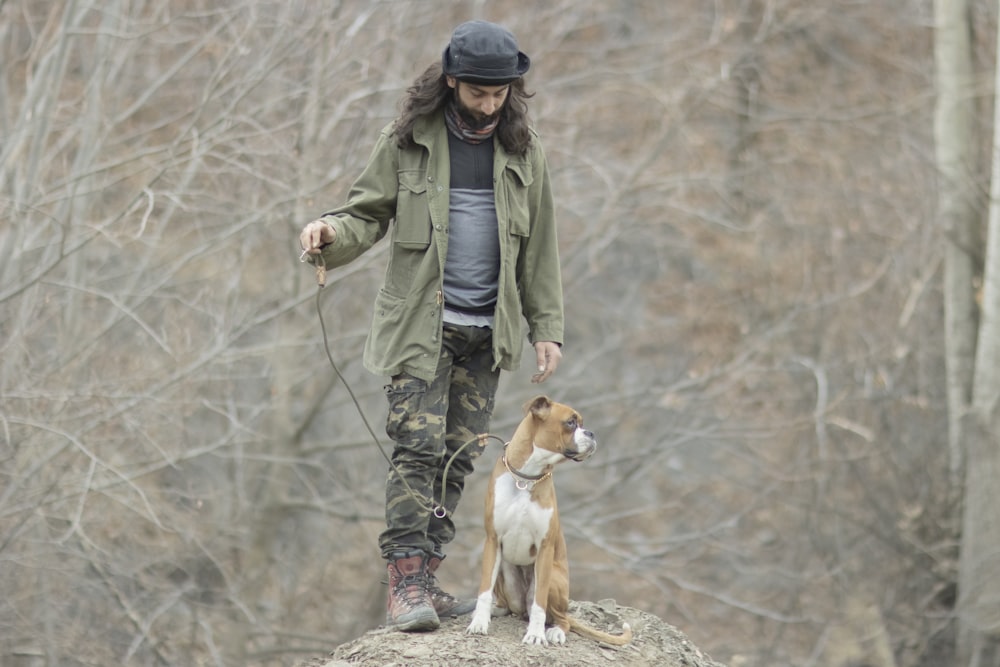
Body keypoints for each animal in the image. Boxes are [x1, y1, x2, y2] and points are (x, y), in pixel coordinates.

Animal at [466, 396, 632, 648]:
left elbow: (539, 605)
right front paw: (479, 623)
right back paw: (495, 611)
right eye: (571, 422)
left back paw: (556, 631)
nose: (591, 433)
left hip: (553, 578)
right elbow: (484, 591)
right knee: (509, 606)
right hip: (504, 574)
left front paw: (536, 634)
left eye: (581, 423)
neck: (526, 477)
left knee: (559, 617)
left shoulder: (544, 548)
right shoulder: (492, 541)